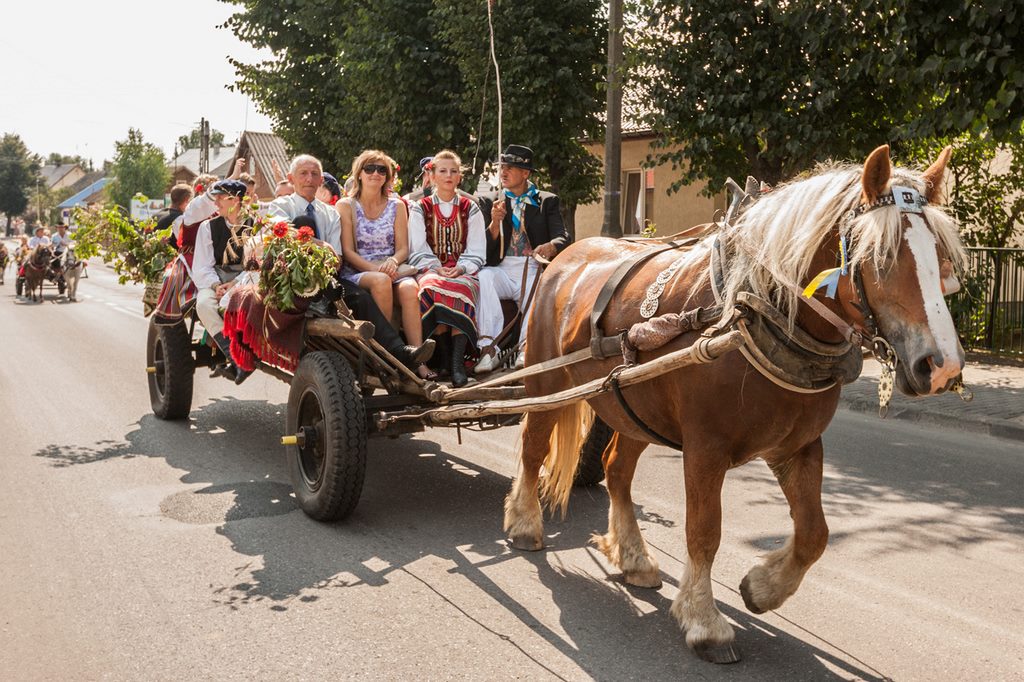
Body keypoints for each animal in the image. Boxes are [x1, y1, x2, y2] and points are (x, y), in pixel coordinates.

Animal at [504, 145, 966, 662]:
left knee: (616, 469)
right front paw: (704, 621)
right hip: (546, 380)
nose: (941, 365)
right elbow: (705, 532)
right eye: (880, 258)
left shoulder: (798, 447)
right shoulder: (705, 449)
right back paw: (524, 524)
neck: (751, 308)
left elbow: (815, 533)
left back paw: (634, 558)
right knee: (533, 447)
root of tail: (568, 253)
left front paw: (763, 588)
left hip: (632, 404)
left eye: (942, 257)